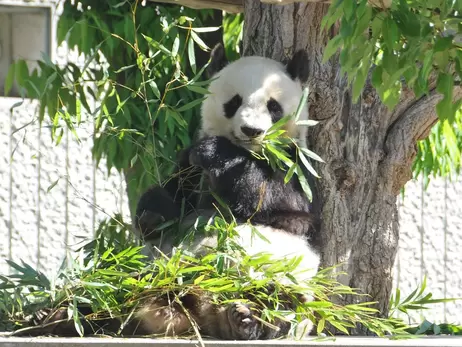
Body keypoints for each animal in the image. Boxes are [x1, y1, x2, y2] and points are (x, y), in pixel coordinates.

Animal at [133, 44, 322, 340]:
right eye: (234, 102)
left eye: (273, 106)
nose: (251, 130)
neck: (248, 151)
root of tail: (204, 310)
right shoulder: (188, 170)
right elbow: (171, 199)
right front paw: (153, 214)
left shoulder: (298, 166)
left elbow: (283, 205)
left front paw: (213, 152)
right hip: (156, 274)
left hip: (285, 278)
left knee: (280, 305)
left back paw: (246, 320)